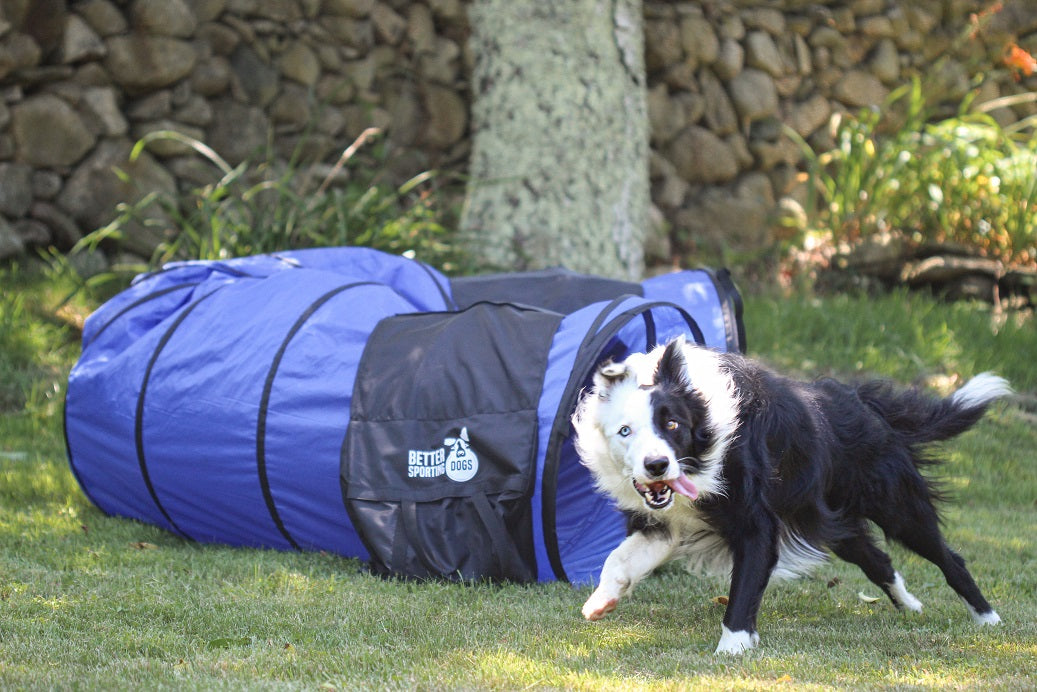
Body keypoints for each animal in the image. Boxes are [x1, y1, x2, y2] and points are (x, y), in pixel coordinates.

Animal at [572, 338, 1007, 659]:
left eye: (673, 424)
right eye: (625, 431)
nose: (657, 465)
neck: (704, 441)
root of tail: (863, 403)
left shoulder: (757, 524)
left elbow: (743, 588)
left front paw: (732, 648)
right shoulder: (666, 522)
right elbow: (618, 558)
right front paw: (600, 602)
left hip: (896, 505)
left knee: (949, 558)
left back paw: (989, 620)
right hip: (832, 521)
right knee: (878, 560)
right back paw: (911, 607)